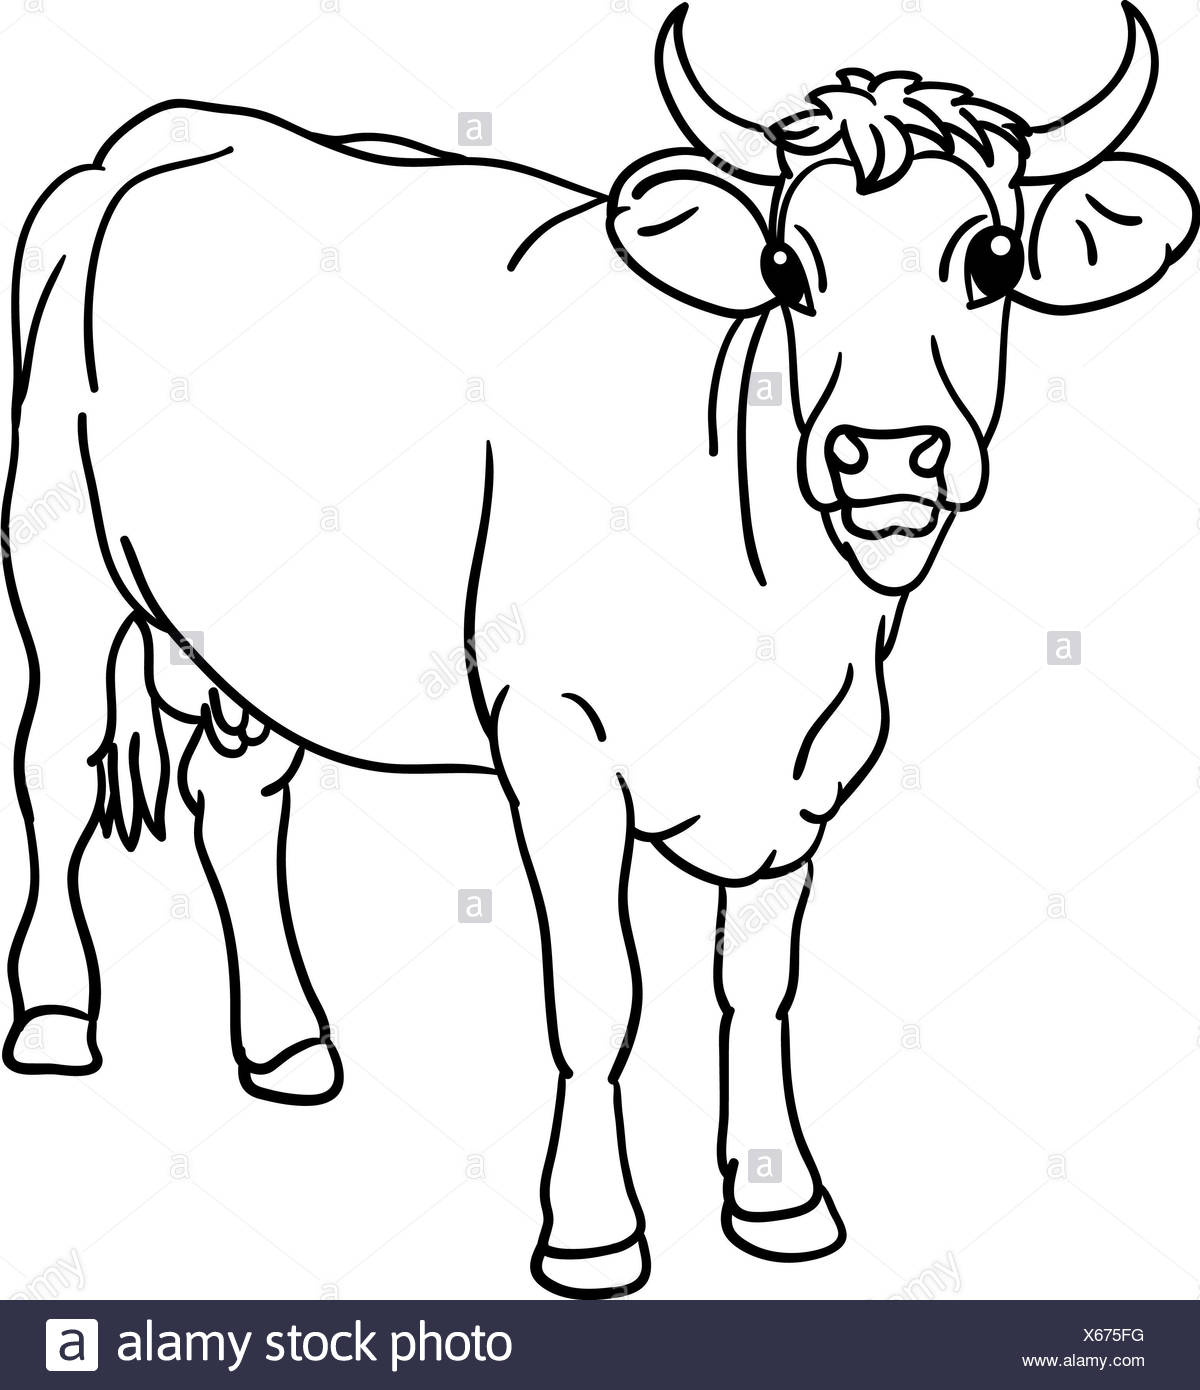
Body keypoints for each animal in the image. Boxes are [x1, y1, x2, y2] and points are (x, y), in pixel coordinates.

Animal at [4, 3, 1195, 1298]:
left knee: (239, 798)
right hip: (59, 569)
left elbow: (756, 987)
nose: (886, 452)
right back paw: (57, 1018)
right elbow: (596, 998)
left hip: (255, 639)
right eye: (787, 269)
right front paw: (591, 1232)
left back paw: (287, 1043)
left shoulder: (806, 780)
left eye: (995, 262)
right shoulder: (556, 753)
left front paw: (778, 1198)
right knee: (52, 770)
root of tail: (158, 137)